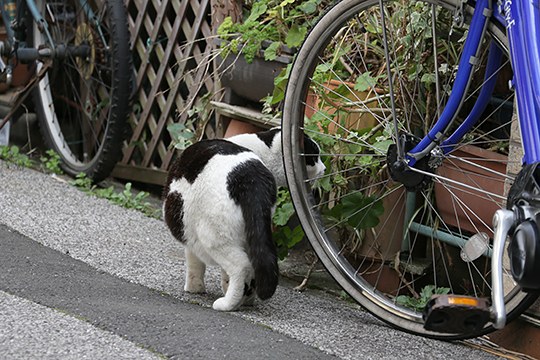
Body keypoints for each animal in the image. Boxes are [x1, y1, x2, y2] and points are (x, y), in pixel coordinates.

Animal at [163, 128, 324, 310]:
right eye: (314, 157)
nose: (324, 168)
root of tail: (250, 178)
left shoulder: (189, 232)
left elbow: (194, 263)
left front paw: (194, 288)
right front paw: (227, 288)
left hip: (213, 236)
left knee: (241, 266)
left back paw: (228, 303)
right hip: (253, 233)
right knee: (255, 266)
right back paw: (246, 300)